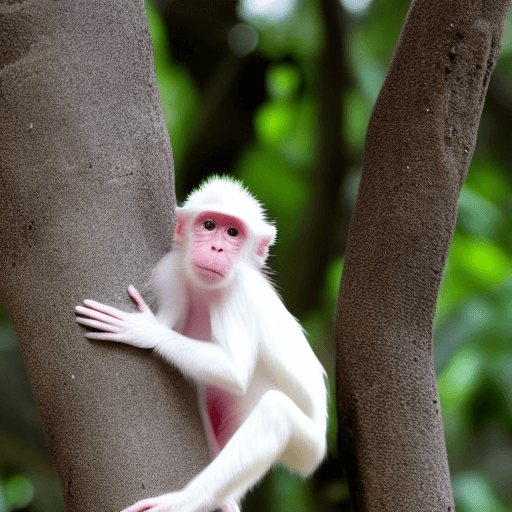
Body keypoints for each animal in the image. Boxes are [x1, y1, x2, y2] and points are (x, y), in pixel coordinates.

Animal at [74, 176, 326, 512]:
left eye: (233, 232)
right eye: (209, 225)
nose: (216, 246)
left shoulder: (238, 295)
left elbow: (234, 372)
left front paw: (146, 331)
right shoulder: (170, 271)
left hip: (309, 449)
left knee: (276, 412)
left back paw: (187, 499)